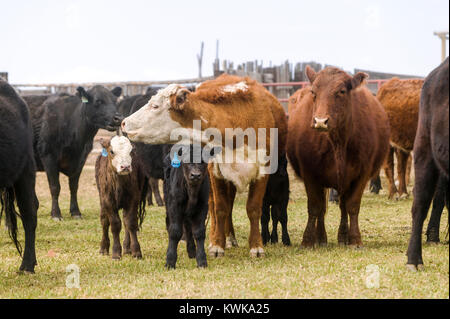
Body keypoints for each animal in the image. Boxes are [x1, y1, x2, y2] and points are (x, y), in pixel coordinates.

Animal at [29, 85, 122, 220]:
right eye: (98, 101)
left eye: (115, 101)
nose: (118, 119)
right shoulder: (48, 156)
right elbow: (55, 187)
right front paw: (56, 214)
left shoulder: (80, 160)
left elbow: (74, 187)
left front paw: (76, 212)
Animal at [121, 74, 286, 258]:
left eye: (155, 106)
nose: (124, 122)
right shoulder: (216, 172)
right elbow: (220, 208)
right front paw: (217, 245)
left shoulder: (263, 171)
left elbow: (253, 208)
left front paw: (256, 247)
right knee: (215, 206)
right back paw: (220, 238)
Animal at [288, 66, 390, 249]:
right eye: (313, 92)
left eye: (341, 91)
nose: (320, 121)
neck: (338, 142)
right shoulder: (310, 174)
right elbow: (315, 207)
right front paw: (307, 240)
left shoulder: (362, 174)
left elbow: (352, 206)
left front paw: (355, 239)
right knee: (323, 209)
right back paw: (321, 238)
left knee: (343, 206)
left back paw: (343, 236)